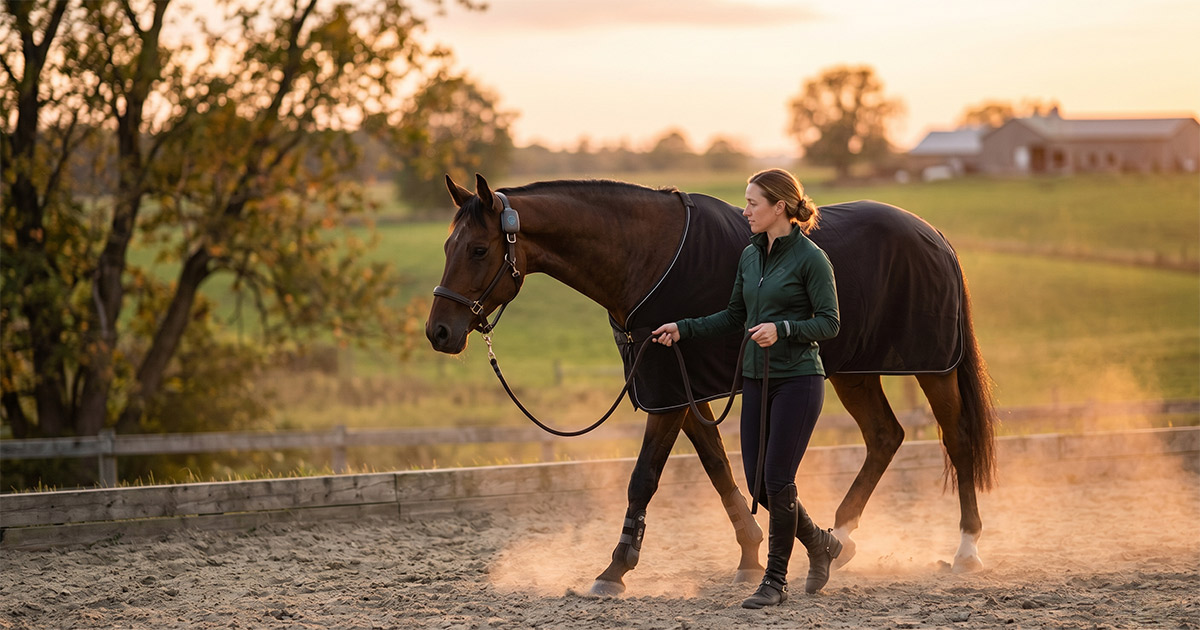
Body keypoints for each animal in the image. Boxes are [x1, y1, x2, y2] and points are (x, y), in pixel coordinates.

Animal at [426, 173, 997, 596]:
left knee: (955, 439)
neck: (643, 257)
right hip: (854, 372)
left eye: (478, 250)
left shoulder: (667, 394)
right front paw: (749, 554)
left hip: (932, 369)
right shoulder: (682, 386)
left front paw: (615, 570)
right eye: (448, 244)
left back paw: (967, 549)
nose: (439, 332)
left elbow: (644, 477)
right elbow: (720, 469)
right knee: (884, 436)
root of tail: (935, 236)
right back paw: (842, 538)